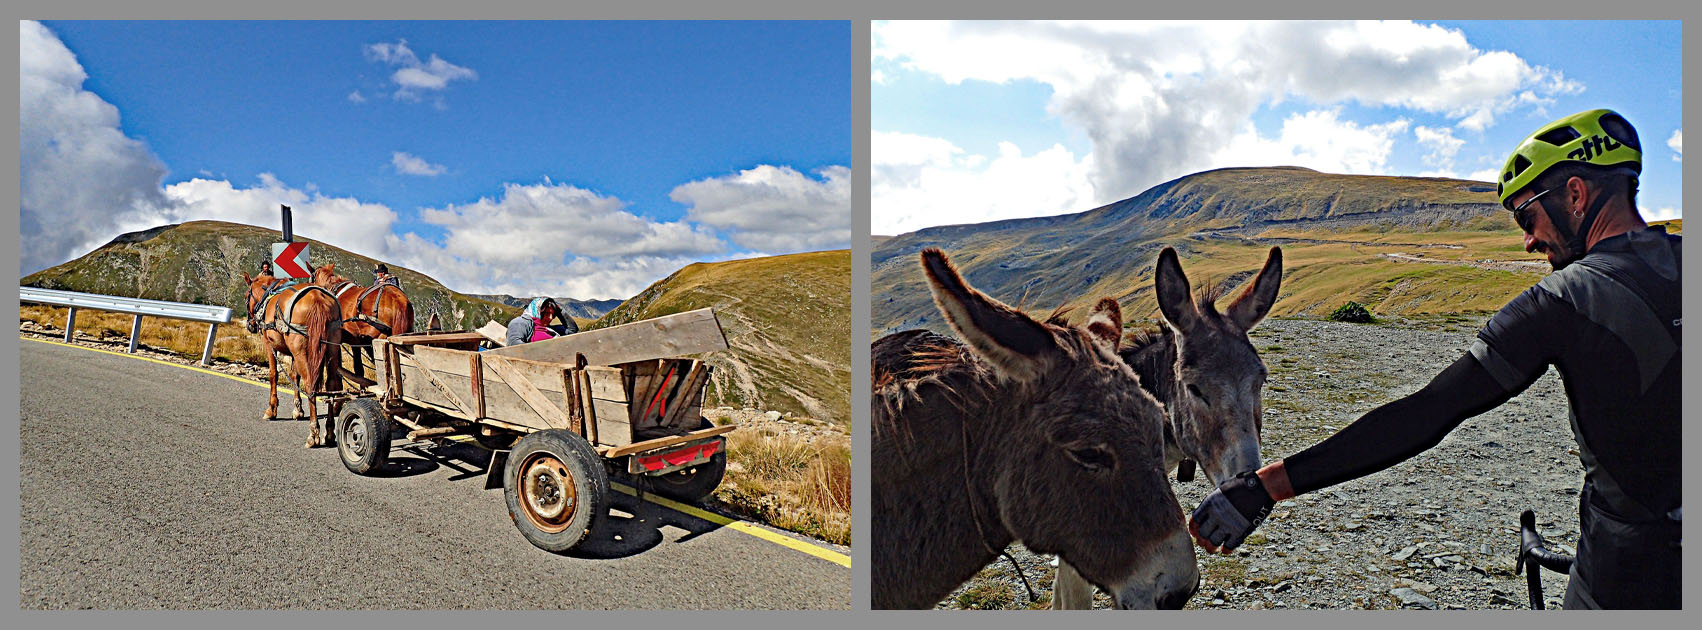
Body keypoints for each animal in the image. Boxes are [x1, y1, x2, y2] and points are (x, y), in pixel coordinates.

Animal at [241, 272, 345, 448]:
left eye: (245, 295)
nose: (250, 325)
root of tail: (318, 299)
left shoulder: (269, 344)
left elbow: (273, 374)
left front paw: (271, 410)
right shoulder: (293, 353)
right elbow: (295, 376)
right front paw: (298, 410)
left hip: (301, 350)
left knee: (310, 385)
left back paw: (313, 433)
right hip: (331, 346)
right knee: (331, 384)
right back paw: (330, 433)